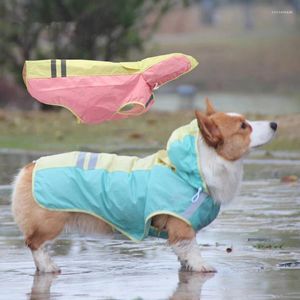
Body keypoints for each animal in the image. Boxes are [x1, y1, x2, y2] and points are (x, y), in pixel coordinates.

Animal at [10, 99, 278, 274]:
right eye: (243, 126)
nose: (275, 124)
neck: (197, 167)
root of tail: (29, 167)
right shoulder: (182, 226)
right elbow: (192, 248)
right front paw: (201, 266)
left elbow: (183, 253)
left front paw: (187, 266)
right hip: (50, 223)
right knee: (35, 244)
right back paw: (48, 267)